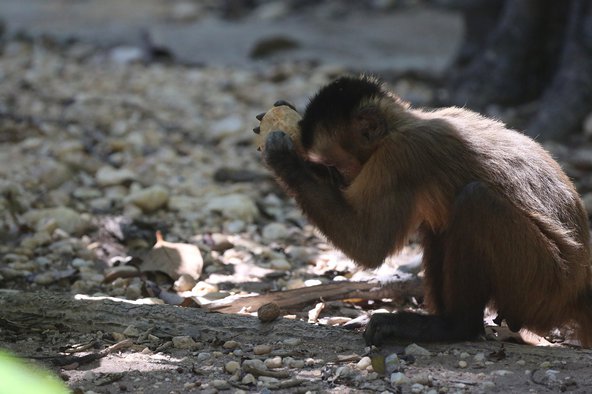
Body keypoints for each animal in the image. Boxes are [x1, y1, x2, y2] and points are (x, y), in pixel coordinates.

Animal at [262, 75, 592, 346]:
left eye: (338, 165)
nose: (341, 179)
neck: (407, 122)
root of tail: (577, 285)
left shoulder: (399, 156)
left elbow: (369, 247)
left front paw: (285, 159)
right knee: (439, 226)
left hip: (541, 282)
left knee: (474, 201)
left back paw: (456, 327)